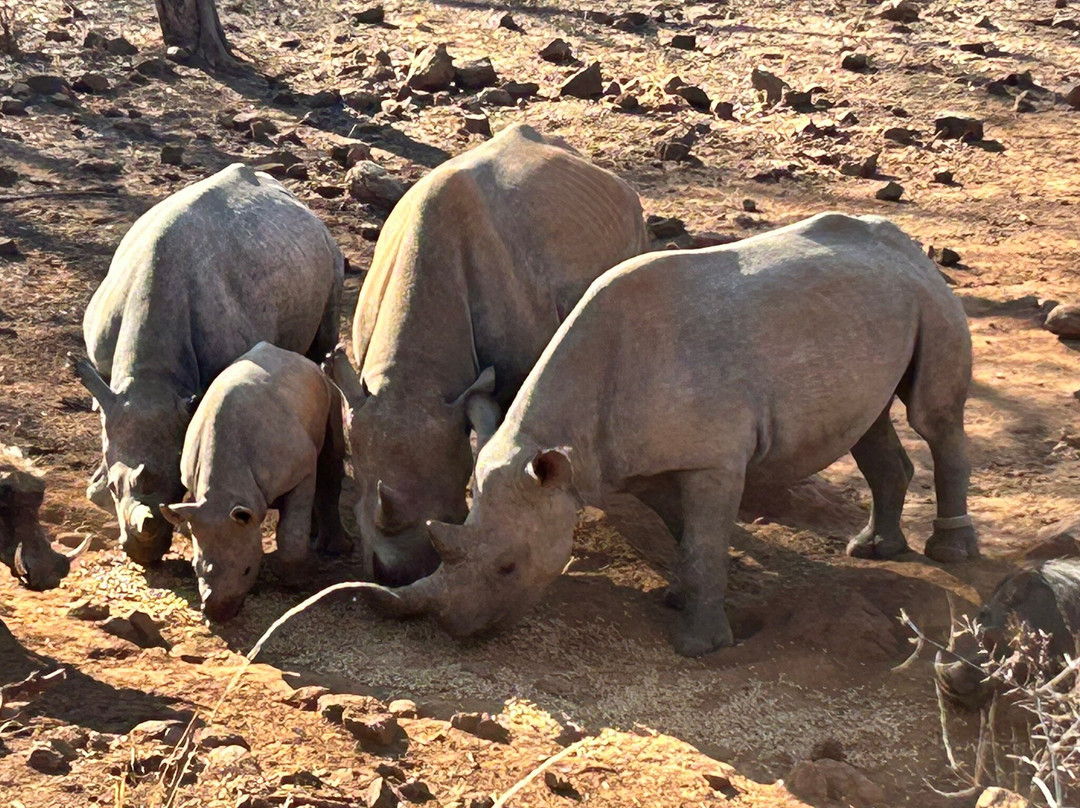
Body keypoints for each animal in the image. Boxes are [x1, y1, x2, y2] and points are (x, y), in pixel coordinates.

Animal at [75, 164, 344, 566]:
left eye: (174, 484)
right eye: (114, 487)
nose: (142, 554)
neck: (151, 377)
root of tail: (297, 201)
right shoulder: (106, 373)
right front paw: (96, 486)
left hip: (329, 253)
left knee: (322, 349)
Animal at [160, 342, 346, 621]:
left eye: (247, 570)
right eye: (195, 568)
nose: (217, 614)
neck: (226, 491)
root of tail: (295, 357)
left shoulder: (301, 469)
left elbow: (292, 532)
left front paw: (294, 582)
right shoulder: (196, 489)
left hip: (327, 388)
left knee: (330, 458)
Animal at [375, 212, 978, 656]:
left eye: (508, 566)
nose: (456, 629)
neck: (564, 448)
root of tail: (906, 244)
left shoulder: (714, 459)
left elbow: (704, 539)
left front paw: (698, 647)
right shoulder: (633, 460)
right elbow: (684, 533)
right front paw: (677, 596)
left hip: (930, 297)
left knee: (933, 418)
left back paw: (949, 553)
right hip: (871, 308)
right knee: (868, 423)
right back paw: (873, 550)